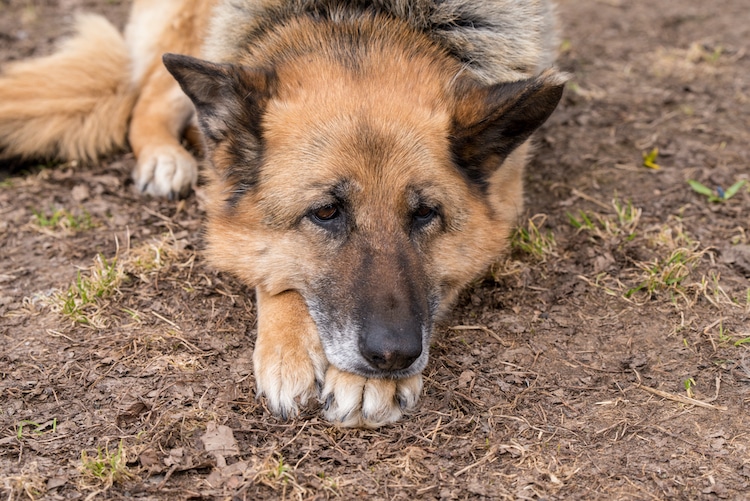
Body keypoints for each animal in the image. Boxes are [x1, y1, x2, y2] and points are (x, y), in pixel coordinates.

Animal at [0, 1, 564, 428]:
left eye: (425, 214)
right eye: (326, 212)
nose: (393, 357)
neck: (365, 17)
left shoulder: (497, 216)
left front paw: (362, 381)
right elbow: (274, 271)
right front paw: (292, 350)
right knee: (148, 100)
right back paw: (164, 156)